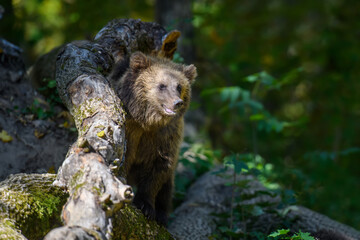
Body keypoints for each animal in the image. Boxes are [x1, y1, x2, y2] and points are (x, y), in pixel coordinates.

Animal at [114, 51, 197, 226]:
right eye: (162, 85)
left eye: (179, 86)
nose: (177, 102)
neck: (149, 122)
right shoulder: (131, 130)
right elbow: (125, 157)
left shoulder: (165, 137)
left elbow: (158, 170)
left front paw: (147, 207)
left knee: (167, 188)